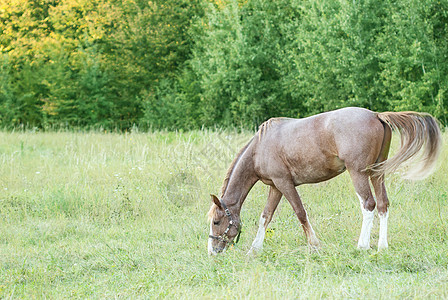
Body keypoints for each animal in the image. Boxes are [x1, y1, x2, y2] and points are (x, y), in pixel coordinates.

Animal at [208, 106, 442, 254]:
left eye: (216, 221)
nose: (213, 251)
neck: (261, 147)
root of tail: (376, 115)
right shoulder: (276, 186)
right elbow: (265, 217)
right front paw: (255, 249)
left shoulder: (285, 184)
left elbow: (300, 213)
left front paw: (314, 244)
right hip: (377, 173)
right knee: (383, 204)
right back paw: (382, 246)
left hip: (358, 173)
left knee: (368, 204)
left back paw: (362, 245)